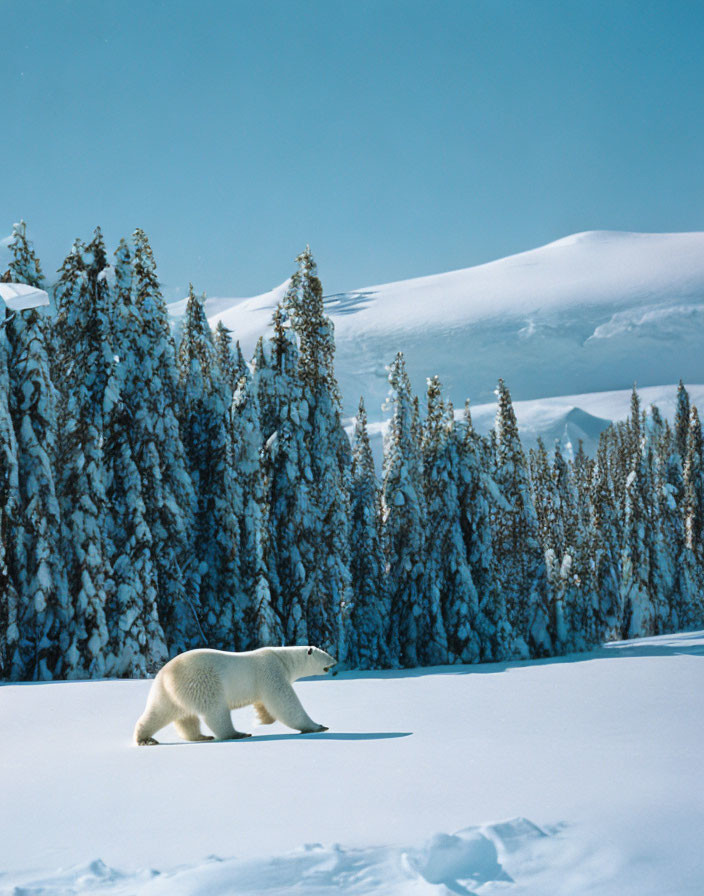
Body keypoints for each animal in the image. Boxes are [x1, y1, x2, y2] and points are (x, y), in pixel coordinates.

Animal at [137, 648, 338, 744]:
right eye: (326, 653)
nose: (336, 662)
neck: (282, 658)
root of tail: (166, 675)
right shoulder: (271, 671)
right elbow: (284, 702)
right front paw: (318, 726)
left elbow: (265, 704)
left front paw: (261, 719)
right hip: (203, 682)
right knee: (216, 712)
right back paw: (237, 733)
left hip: (165, 693)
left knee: (163, 713)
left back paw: (148, 739)